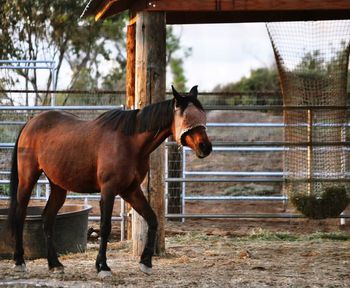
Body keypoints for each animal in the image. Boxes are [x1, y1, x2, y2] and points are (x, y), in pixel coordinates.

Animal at [6, 85, 212, 276]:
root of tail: (30, 123)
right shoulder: (109, 190)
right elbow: (105, 227)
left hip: (58, 187)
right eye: (187, 117)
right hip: (27, 180)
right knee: (20, 215)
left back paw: (54, 264)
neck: (130, 143)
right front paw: (102, 266)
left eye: (202, 115)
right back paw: (19, 261)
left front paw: (146, 262)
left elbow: (153, 220)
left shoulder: (131, 190)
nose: (206, 147)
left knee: (48, 219)